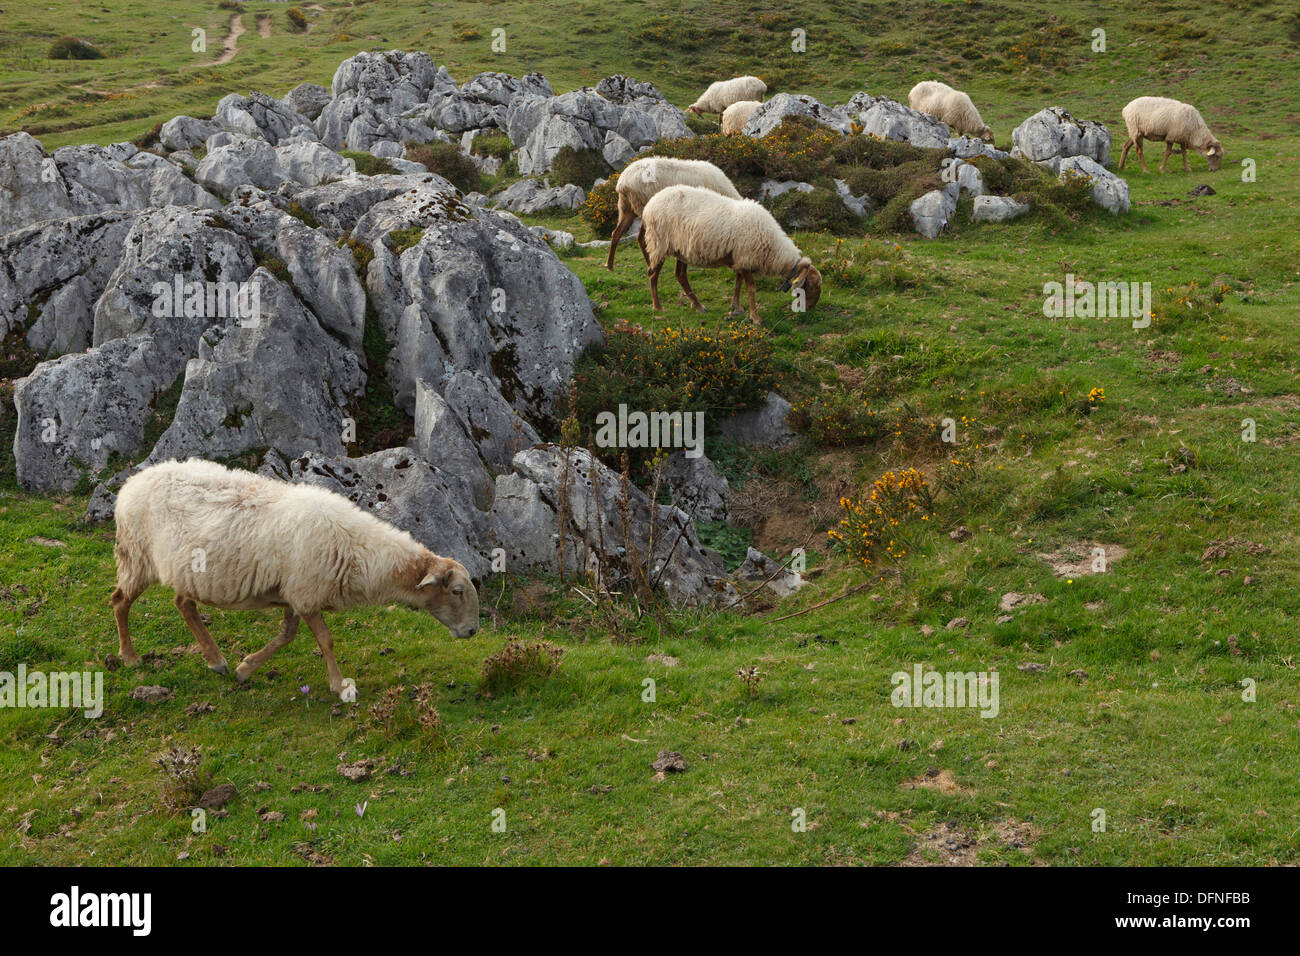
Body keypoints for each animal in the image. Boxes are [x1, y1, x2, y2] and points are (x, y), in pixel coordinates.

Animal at [110, 458, 480, 700]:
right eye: (457, 591)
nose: (473, 632)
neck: (358, 549)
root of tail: (131, 484)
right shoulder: (306, 593)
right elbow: (326, 640)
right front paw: (341, 686)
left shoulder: (294, 593)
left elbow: (287, 635)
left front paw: (246, 669)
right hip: (137, 557)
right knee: (119, 601)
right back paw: (130, 657)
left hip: (183, 569)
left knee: (182, 603)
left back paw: (216, 660)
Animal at [605, 157, 742, 271]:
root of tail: (622, 182)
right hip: (644, 207)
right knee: (640, 238)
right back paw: (649, 264)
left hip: (626, 207)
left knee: (616, 233)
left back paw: (610, 265)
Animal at [640, 184, 822, 325]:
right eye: (812, 285)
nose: (811, 308)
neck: (773, 246)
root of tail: (649, 204)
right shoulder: (746, 257)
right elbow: (751, 289)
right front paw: (755, 318)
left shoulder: (740, 258)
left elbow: (738, 283)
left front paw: (737, 307)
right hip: (659, 242)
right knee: (653, 273)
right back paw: (658, 306)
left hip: (682, 250)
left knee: (680, 275)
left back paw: (698, 306)